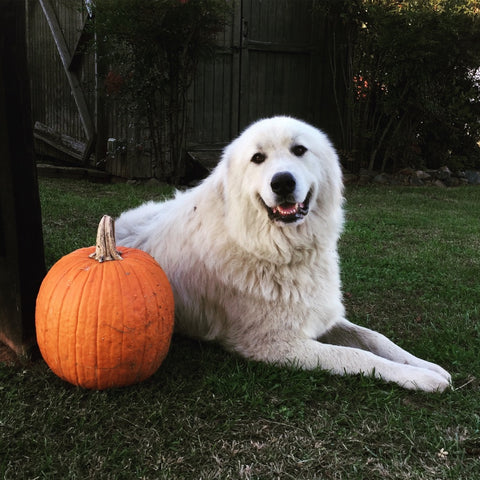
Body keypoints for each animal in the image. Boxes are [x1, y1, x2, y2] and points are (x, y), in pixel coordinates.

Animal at [115, 115, 450, 390]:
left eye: (299, 150)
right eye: (258, 158)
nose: (283, 182)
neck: (278, 249)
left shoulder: (320, 315)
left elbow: (375, 338)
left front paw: (427, 366)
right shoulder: (277, 344)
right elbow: (358, 357)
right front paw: (420, 378)